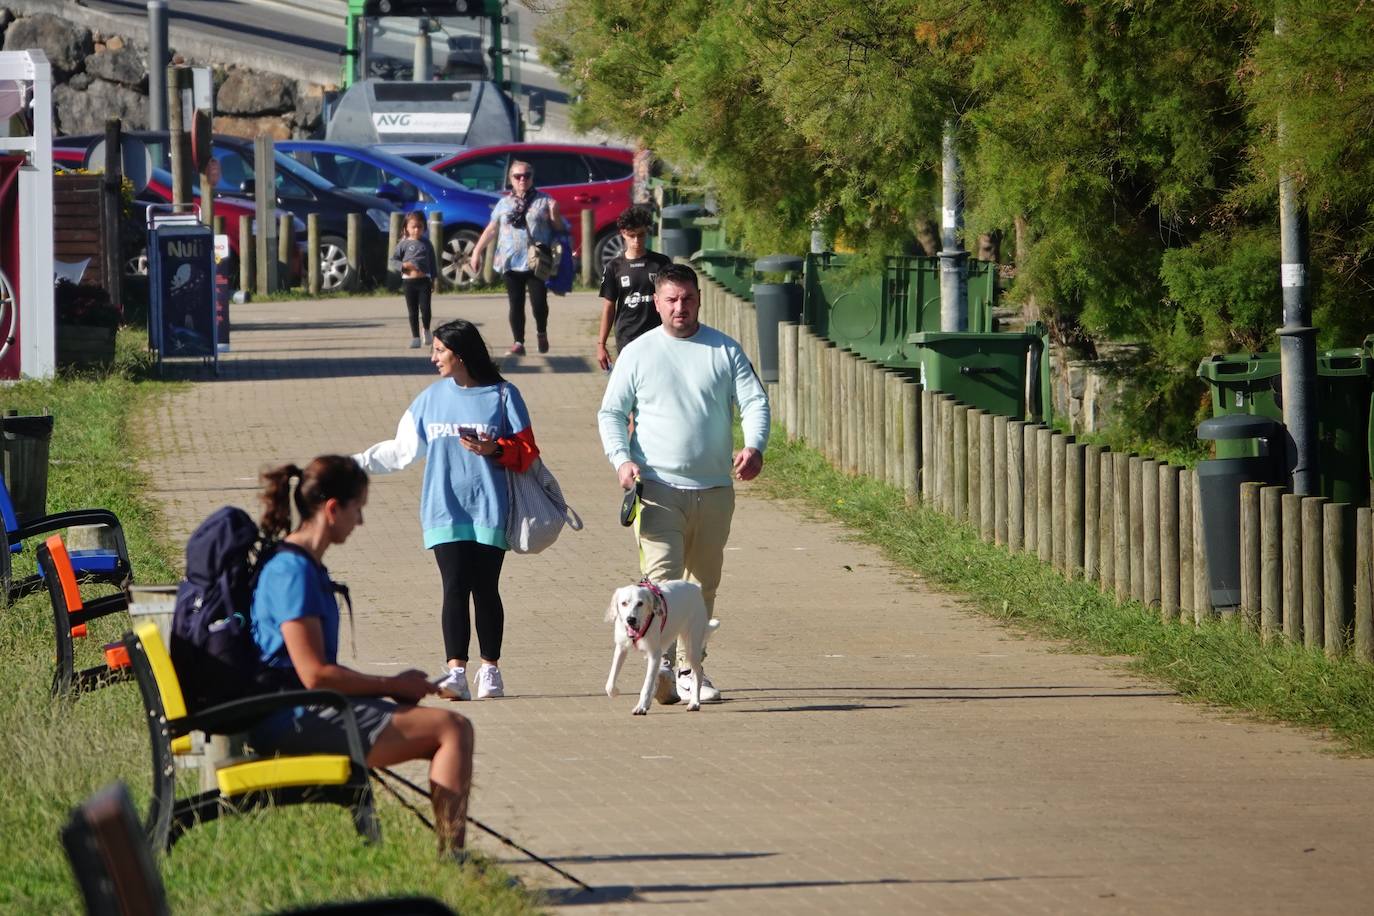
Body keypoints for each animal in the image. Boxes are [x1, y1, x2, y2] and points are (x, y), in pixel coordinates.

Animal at [610, 579, 725, 714]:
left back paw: (694, 703)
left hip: (691, 646)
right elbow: (610, 680)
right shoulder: (621, 649)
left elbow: (647, 684)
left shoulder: (654, 654)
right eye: (623, 603)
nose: (630, 619)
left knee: (698, 673)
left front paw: (641, 706)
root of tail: (695, 587)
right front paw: (614, 691)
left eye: (640, 603)